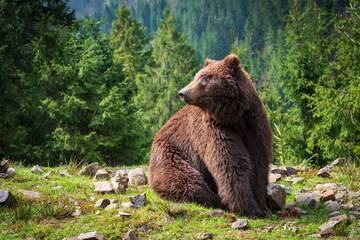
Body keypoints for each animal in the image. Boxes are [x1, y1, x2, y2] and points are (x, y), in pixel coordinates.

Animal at [148, 53, 272, 218]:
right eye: (197, 76)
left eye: (205, 78)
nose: (182, 92)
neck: (235, 118)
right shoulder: (214, 130)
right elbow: (230, 163)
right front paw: (248, 208)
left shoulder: (254, 126)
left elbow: (259, 162)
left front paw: (262, 205)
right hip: (172, 154)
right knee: (186, 180)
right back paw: (213, 199)